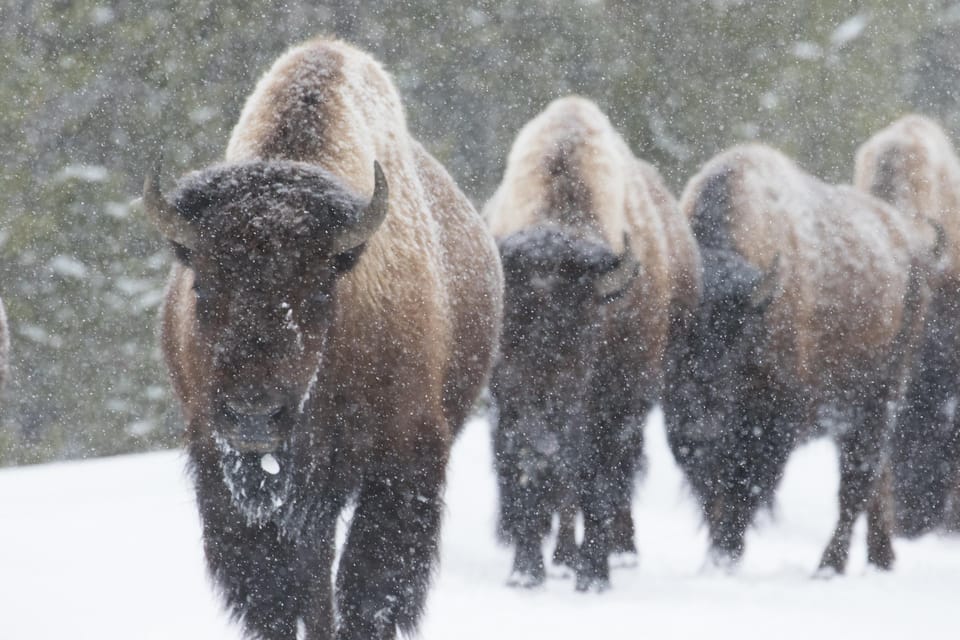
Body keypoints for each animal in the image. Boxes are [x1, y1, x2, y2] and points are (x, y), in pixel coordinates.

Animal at [144, 38, 502, 640]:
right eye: (203, 283)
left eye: (317, 288)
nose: (254, 416)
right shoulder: (224, 470)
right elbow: (273, 592)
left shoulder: (401, 459)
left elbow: (368, 585)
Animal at [488, 95, 696, 592]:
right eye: (510, 329)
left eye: (584, 329)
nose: (545, 432)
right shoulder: (511, 401)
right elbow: (529, 474)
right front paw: (525, 572)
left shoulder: (617, 403)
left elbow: (599, 481)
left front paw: (593, 575)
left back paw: (607, 555)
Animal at [664, 145, 932, 576]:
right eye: (676, 336)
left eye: (739, 337)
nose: (700, 424)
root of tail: (909, 245)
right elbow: (714, 496)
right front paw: (715, 562)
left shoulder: (772, 424)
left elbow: (742, 494)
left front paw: (724, 559)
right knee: (876, 479)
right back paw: (881, 559)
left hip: (879, 399)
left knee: (856, 483)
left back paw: (829, 567)